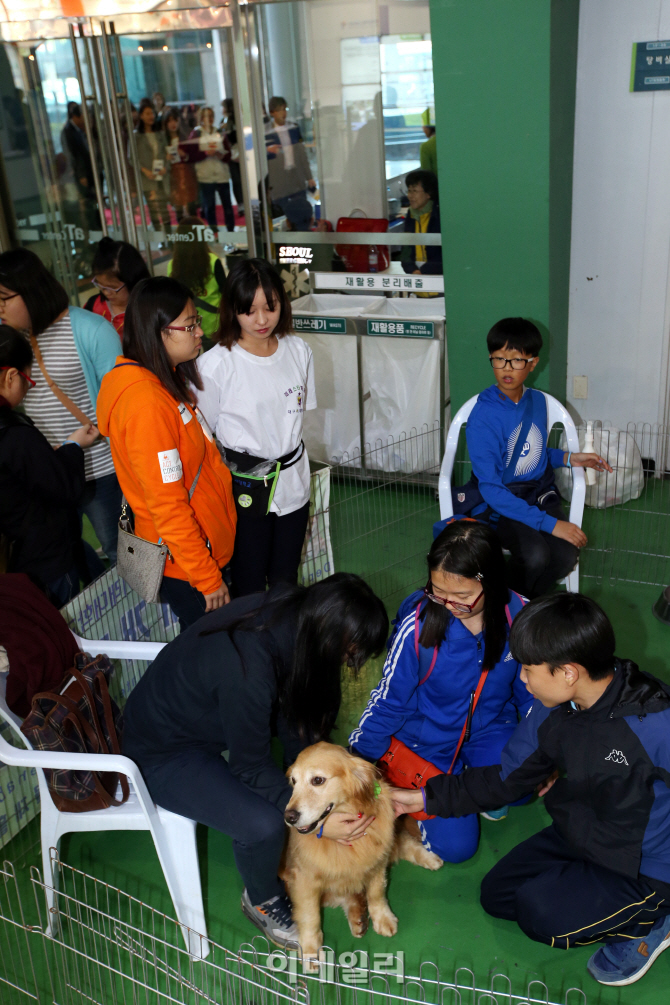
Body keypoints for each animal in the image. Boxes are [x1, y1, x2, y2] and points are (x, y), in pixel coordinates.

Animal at [281, 747, 441, 964]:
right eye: (293, 781)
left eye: (317, 780)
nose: (289, 817)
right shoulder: (304, 880)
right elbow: (310, 916)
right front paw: (310, 952)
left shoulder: (377, 860)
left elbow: (376, 894)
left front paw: (383, 918)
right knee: (347, 895)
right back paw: (358, 919)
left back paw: (431, 859)